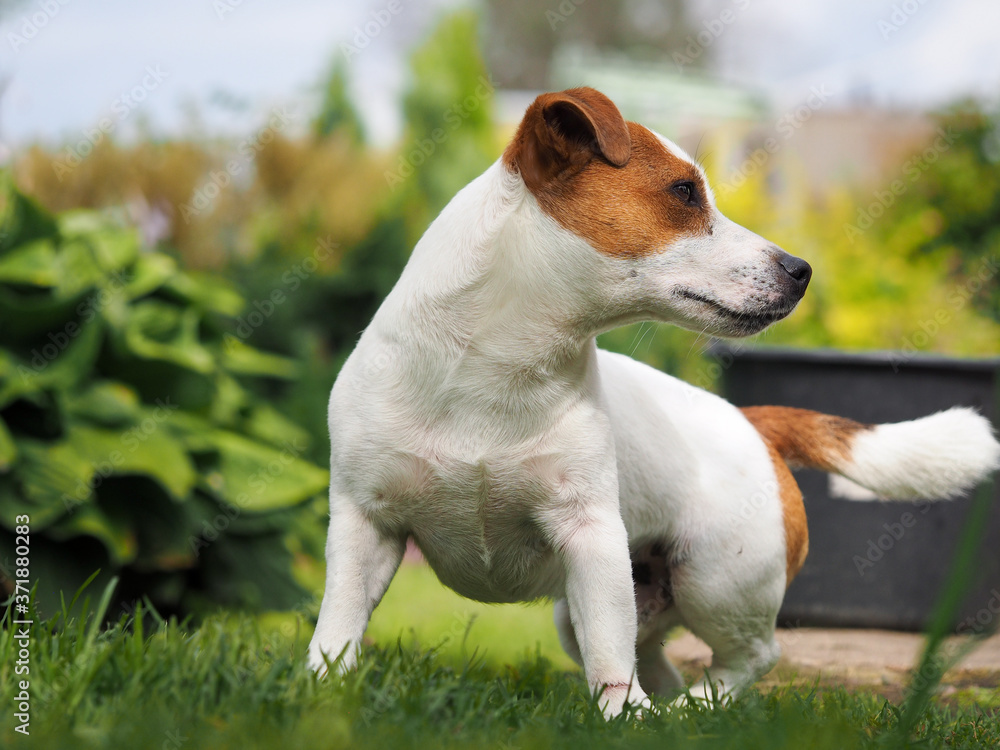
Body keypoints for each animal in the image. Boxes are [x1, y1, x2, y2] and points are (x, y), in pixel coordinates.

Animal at [308, 86, 1000, 716]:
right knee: (653, 659)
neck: (492, 370)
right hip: (599, 607)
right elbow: (337, 626)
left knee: (748, 658)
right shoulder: (366, 526)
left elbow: (609, 655)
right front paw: (322, 693)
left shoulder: (591, 536)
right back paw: (664, 713)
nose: (801, 270)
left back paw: (692, 709)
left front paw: (615, 719)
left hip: (717, 580)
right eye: (684, 192)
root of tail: (751, 422)